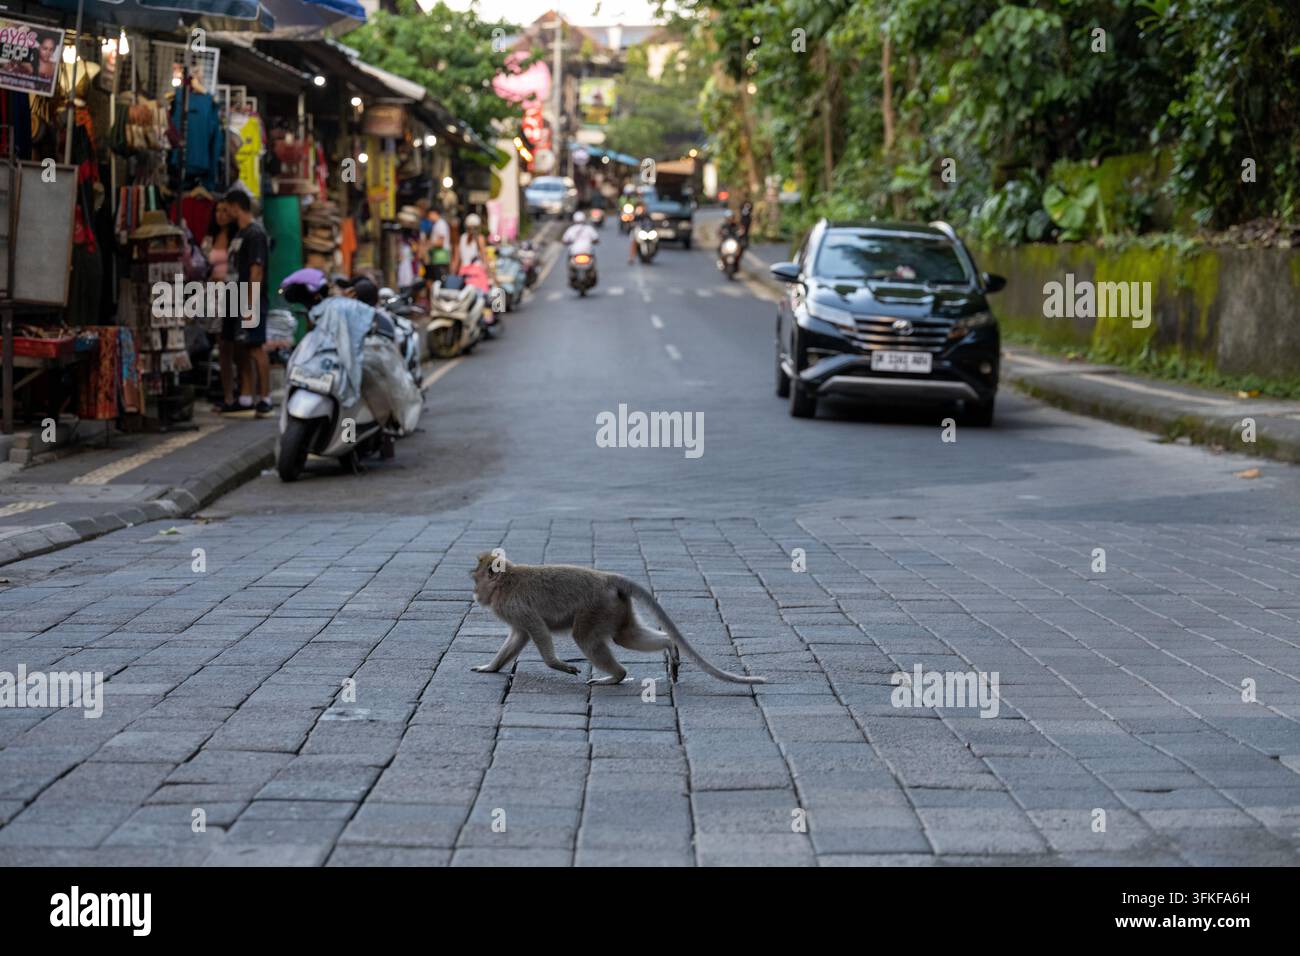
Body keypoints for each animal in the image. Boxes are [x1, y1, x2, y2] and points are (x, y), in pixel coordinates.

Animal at [468, 551, 766, 685]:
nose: (475, 593)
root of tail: (608, 578)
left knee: (586, 638)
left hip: (597, 607)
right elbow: (520, 636)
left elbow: (537, 629)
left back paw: (616, 676)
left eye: (476, 579)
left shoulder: (514, 606)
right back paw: (669, 645)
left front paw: (558, 664)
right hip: (616, 607)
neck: (504, 583)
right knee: (625, 636)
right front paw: (491, 667)